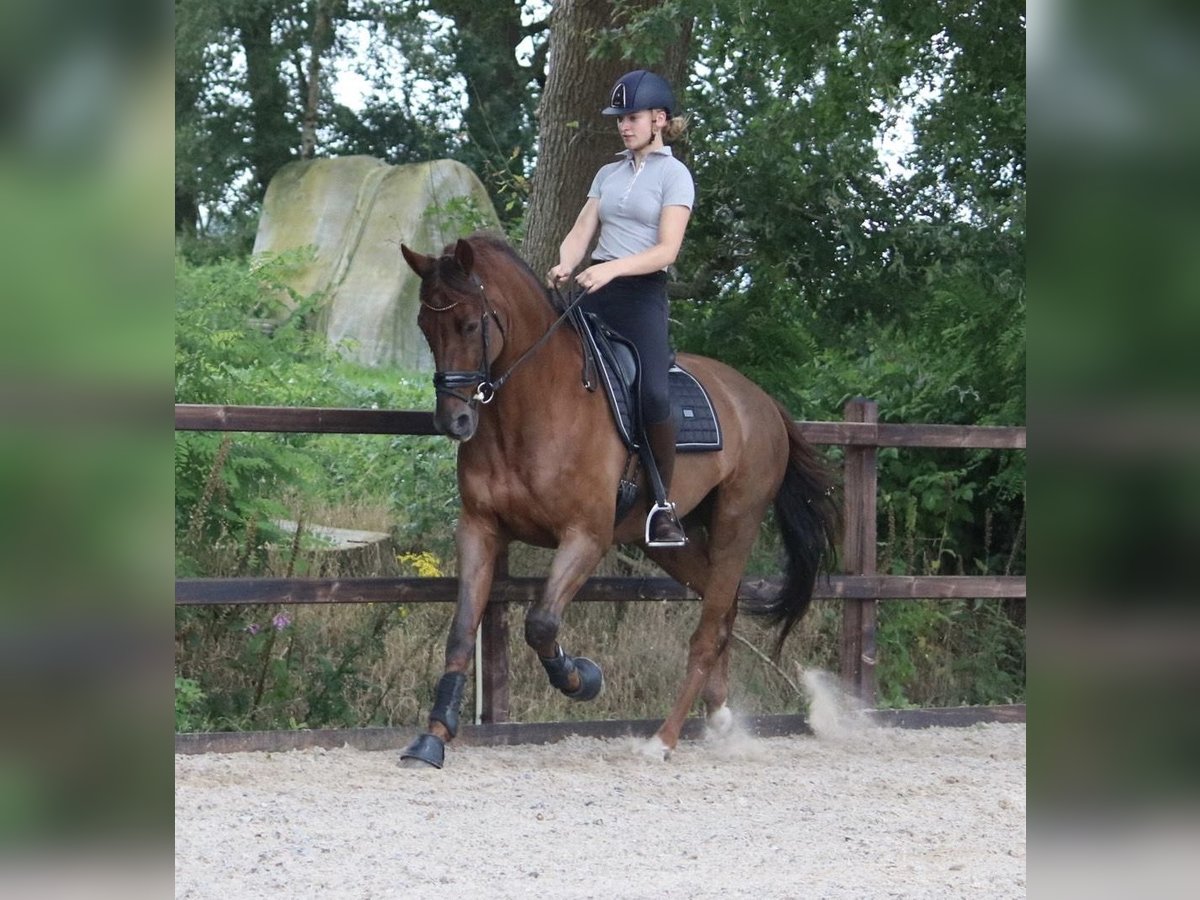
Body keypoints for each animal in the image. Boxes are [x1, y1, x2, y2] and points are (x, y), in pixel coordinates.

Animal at [398, 232, 840, 768]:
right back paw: (719, 717)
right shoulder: (480, 527)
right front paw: (433, 737)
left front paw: (581, 679)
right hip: (673, 542)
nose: (454, 422)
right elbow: (462, 630)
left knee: (708, 629)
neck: (532, 406)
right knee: (724, 609)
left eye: (467, 324)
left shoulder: (586, 536)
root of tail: (760, 400)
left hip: (738, 520)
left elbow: (541, 624)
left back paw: (663, 740)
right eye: (425, 329)